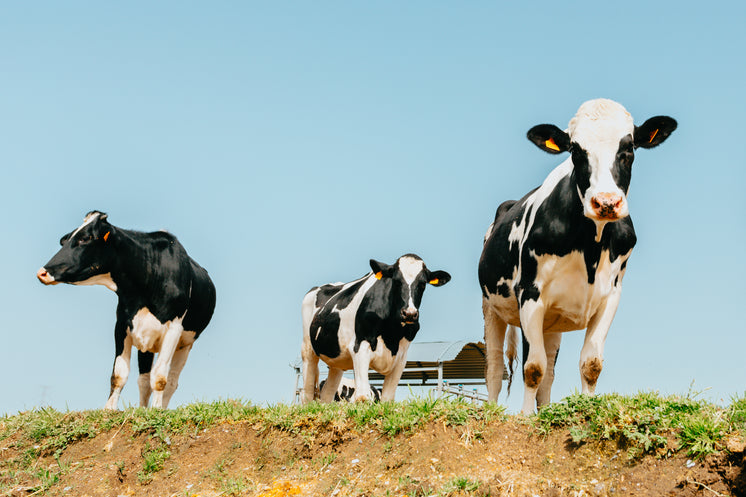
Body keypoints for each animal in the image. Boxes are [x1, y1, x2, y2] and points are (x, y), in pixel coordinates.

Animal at [37, 211, 216, 409]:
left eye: (85, 238)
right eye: (66, 240)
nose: (42, 272)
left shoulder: (174, 329)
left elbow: (160, 378)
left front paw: (156, 410)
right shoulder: (122, 325)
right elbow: (119, 374)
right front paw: (109, 409)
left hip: (185, 344)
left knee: (171, 381)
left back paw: (160, 407)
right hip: (147, 345)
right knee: (144, 381)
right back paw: (142, 409)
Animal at [301, 254, 450, 403]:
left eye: (423, 284)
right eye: (396, 281)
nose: (409, 314)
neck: (392, 336)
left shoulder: (401, 357)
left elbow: (388, 398)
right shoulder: (360, 347)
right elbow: (362, 395)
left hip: (336, 358)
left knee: (327, 393)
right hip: (308, 349)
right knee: (307, 392)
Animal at [478, 99, 676, 414]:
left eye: (629, 148)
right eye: (575, 150)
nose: (606, 202)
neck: (591, 247)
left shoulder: (611, 296)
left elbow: (590, 364)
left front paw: (586, 408)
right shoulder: (530, 294)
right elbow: (532, 368)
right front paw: (525, 417)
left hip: (551, 323)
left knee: (549, 371)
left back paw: (546, 409)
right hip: (491, 306)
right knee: (495, 367)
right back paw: (493, 411)